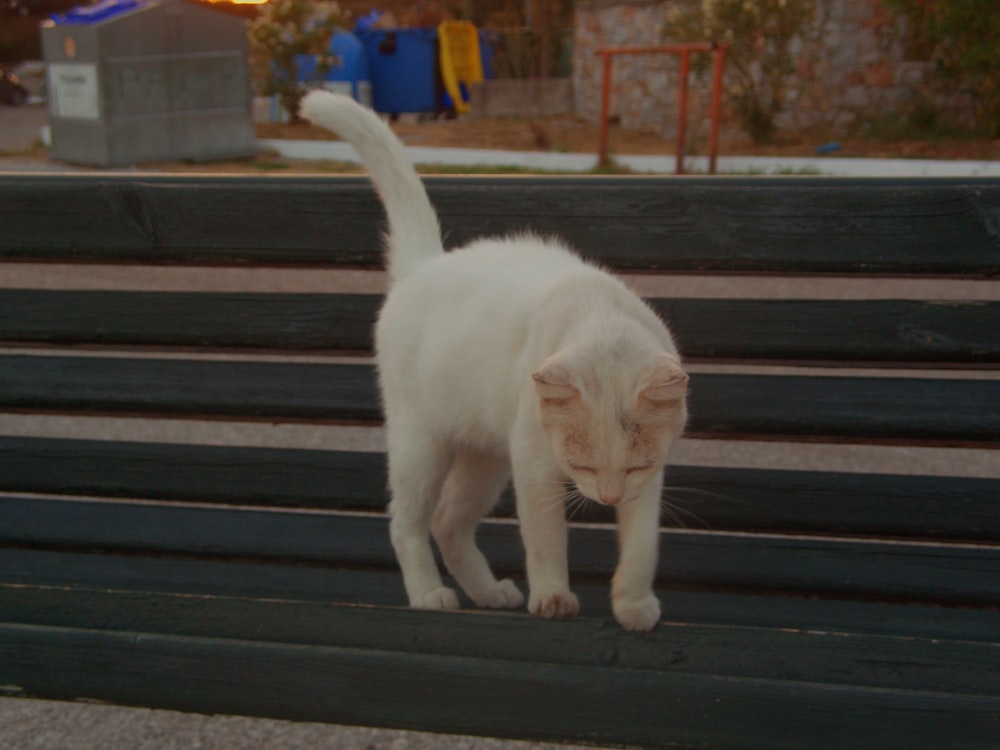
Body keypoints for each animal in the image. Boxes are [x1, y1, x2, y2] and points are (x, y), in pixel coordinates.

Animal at [302, 91, 688, 632]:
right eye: (582, 463)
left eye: (634, 468)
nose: (609, 499)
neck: (597, 315)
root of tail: (425, 264)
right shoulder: (534, 466)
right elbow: (546, 540)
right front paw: (552, 596)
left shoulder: (648, 481)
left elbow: (641, 547)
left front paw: (633, 605)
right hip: (423, 447)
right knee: (407, 522)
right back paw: (429, 592)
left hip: (484, 459)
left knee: (448, 523)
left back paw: (488, 593)